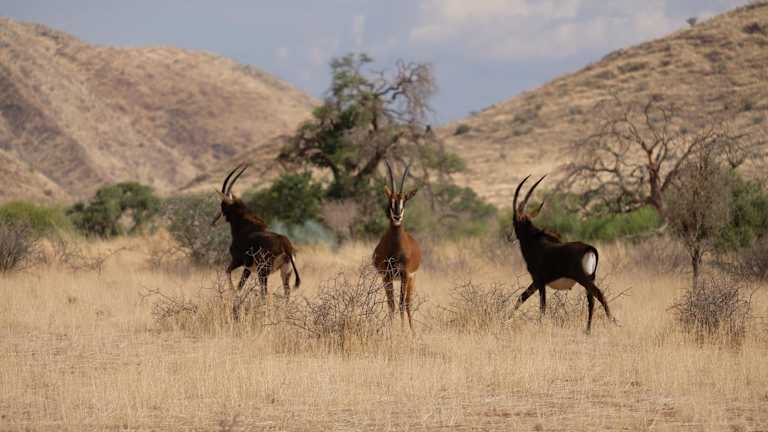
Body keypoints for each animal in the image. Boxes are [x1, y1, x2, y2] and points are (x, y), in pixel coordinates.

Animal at [212, 163, 301, 318]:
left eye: (223, 206)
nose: (213, 222)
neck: (245, 225)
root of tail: (286, 245)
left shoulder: (240, 262)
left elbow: (231, 277)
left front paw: (234, 300)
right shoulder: (248, 268)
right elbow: (234, 280)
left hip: (262, 272)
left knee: (264, 293)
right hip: (285, 272)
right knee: (286, 292)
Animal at [372, 160, 422, 330]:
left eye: (404, 200)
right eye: (391, 200)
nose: (397, 215)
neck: (396, 248)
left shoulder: (405, 274)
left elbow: (400, 304)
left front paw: (401, 331)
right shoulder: (387, 276)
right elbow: (391, 304)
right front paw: (392, 330)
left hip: (411, 279)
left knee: (407, 303)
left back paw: (412, 331)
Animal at [511, 175, 614, 333]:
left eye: (514, 221)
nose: (510, 237)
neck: (535, 242)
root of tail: (590, 248)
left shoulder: (539, 281)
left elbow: (536, 304)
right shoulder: (539, 283)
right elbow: (524, 300)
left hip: (583, 278)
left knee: (599, 296)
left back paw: (607, 323)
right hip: (590, 278)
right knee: (591, 300)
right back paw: (588, 329)